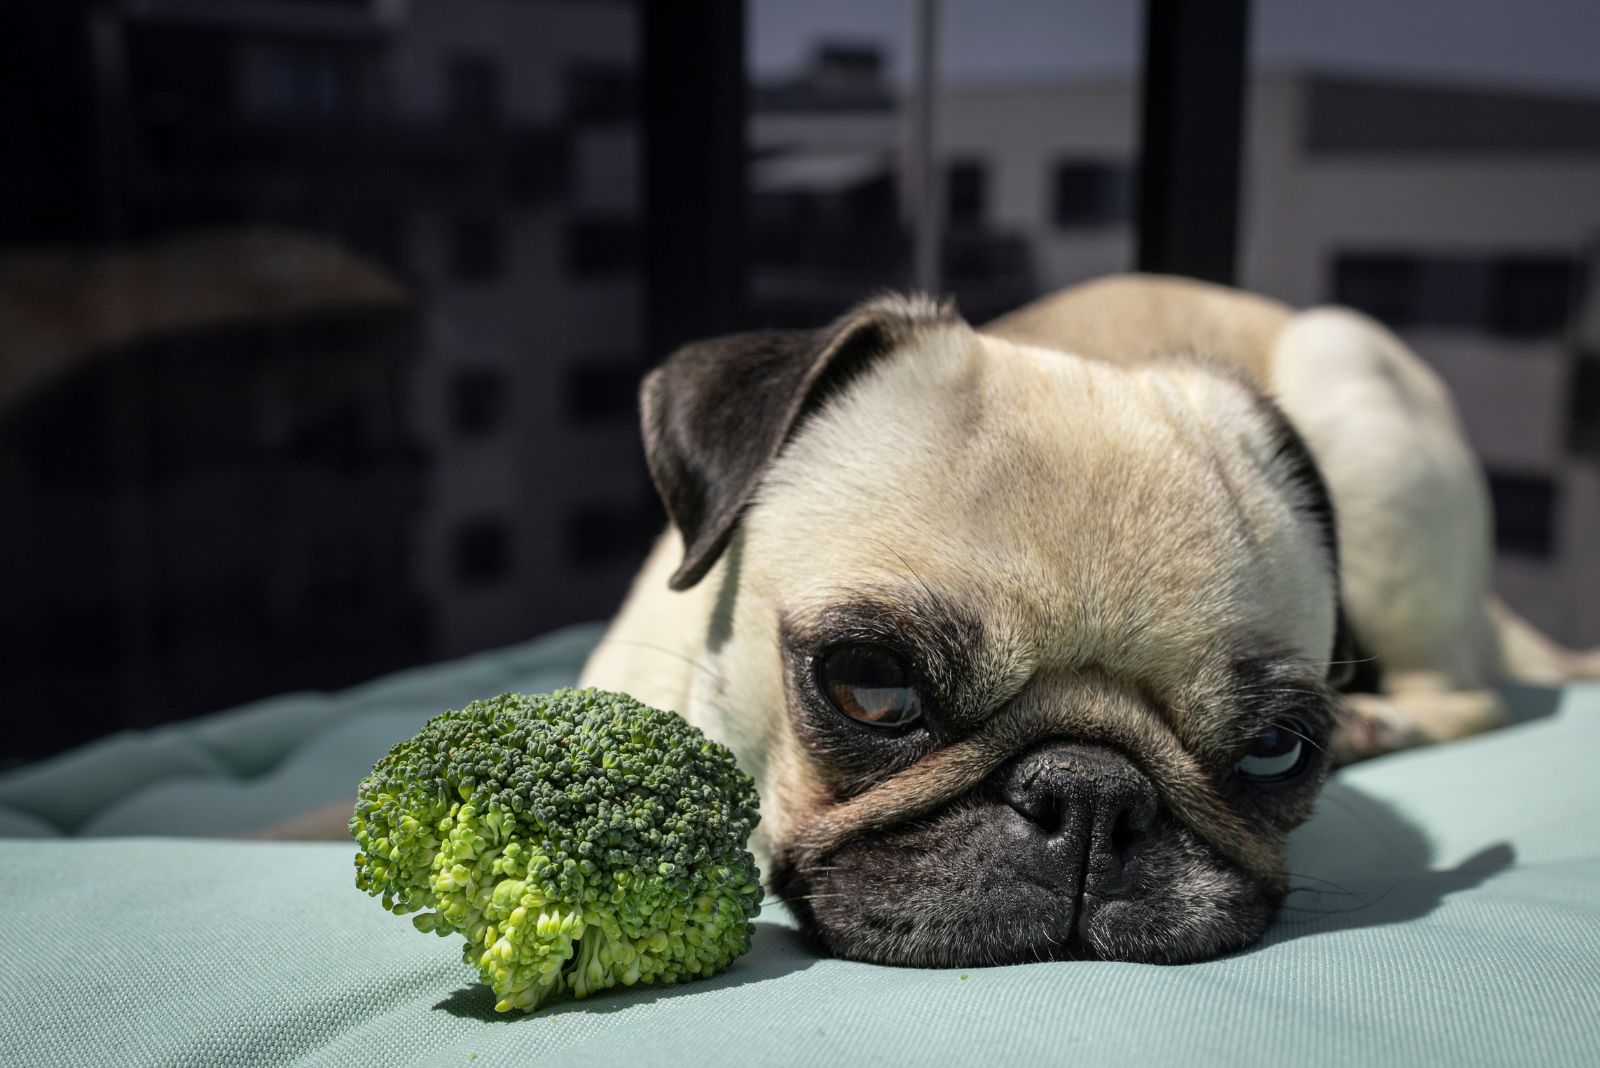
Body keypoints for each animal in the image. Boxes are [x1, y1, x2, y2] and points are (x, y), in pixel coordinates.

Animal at [579, 273, 1600, 965]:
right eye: (869, 685)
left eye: (1276, 750)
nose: (1092, 796)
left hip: (1365, 435)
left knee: (1467, 695)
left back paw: (1381, 721)